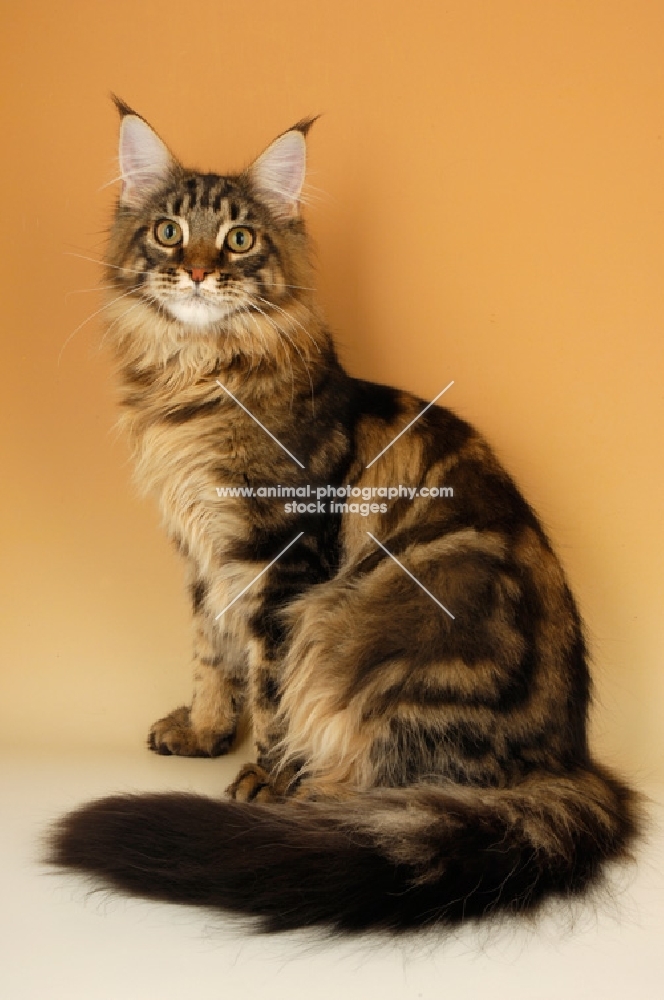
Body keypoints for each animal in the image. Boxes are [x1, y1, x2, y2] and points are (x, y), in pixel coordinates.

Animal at [48, 97, 640, 932]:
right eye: (169, 230)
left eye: (239, 239)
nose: (196, 270)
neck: (195, 383)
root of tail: (570, 761)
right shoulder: (203, 554)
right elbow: (210, 653)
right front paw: (204, 731)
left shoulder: (280, 557)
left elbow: (266, 684)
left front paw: (264, 774)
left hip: (350, 623)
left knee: (382, 785)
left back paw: (314, 803)